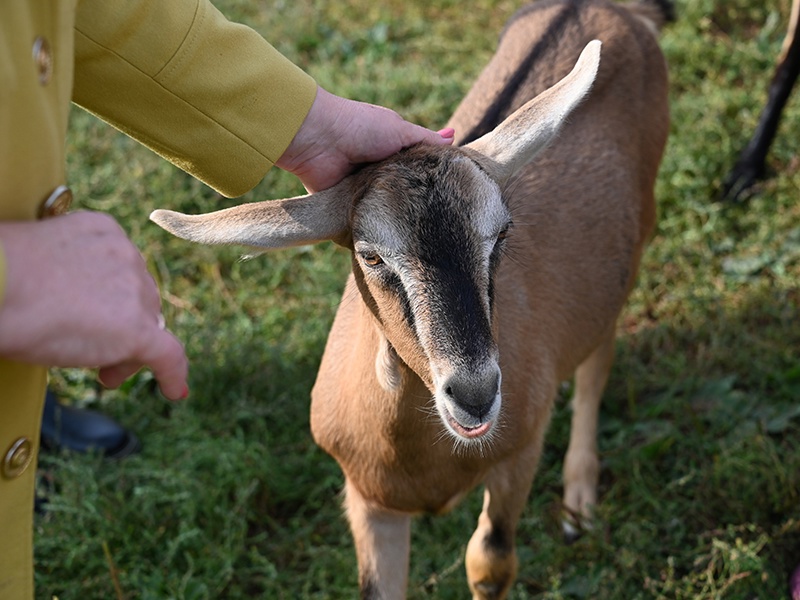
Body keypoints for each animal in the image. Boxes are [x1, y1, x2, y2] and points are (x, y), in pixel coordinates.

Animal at [148, 2, 668, 596]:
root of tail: (611, 10)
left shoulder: (519, 454)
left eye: (502, 234)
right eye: (371, 255)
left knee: (599, 352)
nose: (475, 395)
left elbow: (490, 560)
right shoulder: (369, 501)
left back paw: (579, 500)